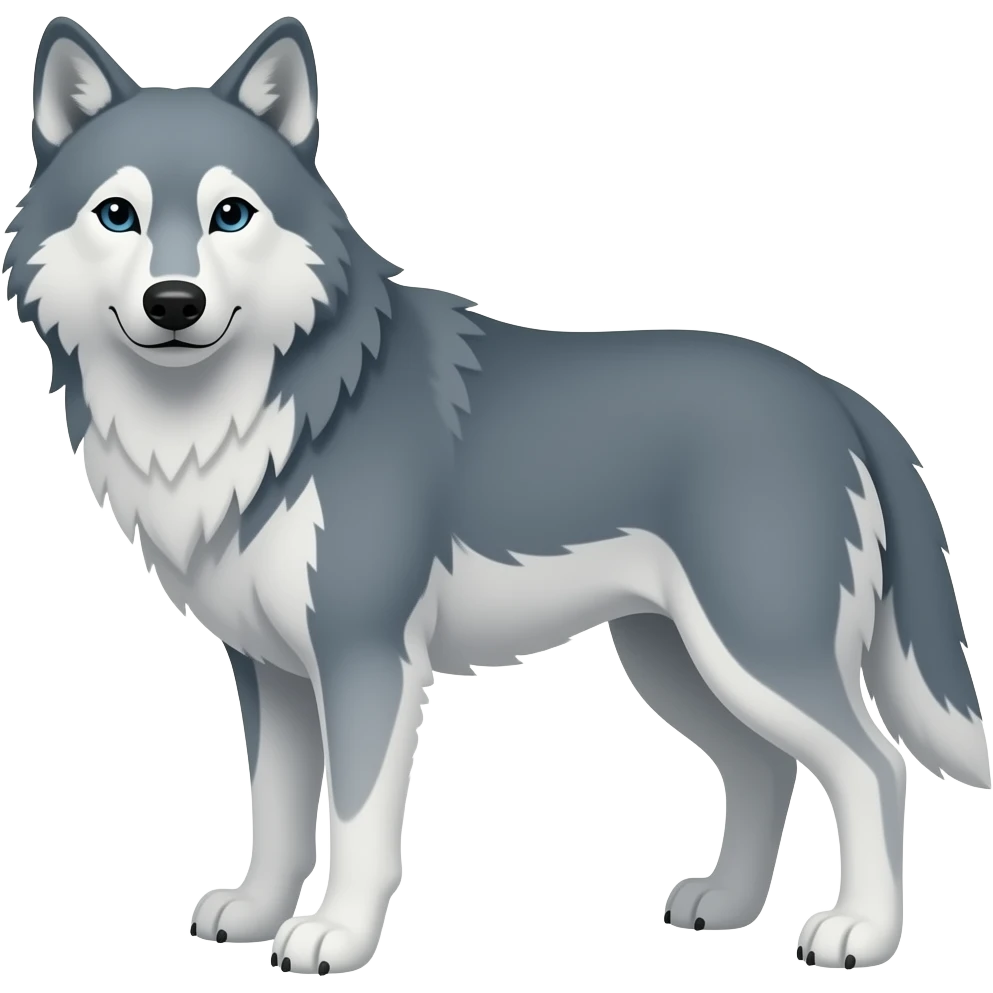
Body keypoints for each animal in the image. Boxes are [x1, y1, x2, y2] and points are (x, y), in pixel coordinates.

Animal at [4, 13, 989, 976]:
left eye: (231, 215)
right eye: (118, 215)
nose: (175, 302)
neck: (248, 418)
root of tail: (837, 395)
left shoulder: (365, 655)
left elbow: (357, 819)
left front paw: (337, 936)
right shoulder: (270, 668)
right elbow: (275, 810)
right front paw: (254, 912)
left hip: (756, 651)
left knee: (873, 768)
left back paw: (859, 932)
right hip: (677, 660)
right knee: (763, 770)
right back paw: (727, 905)